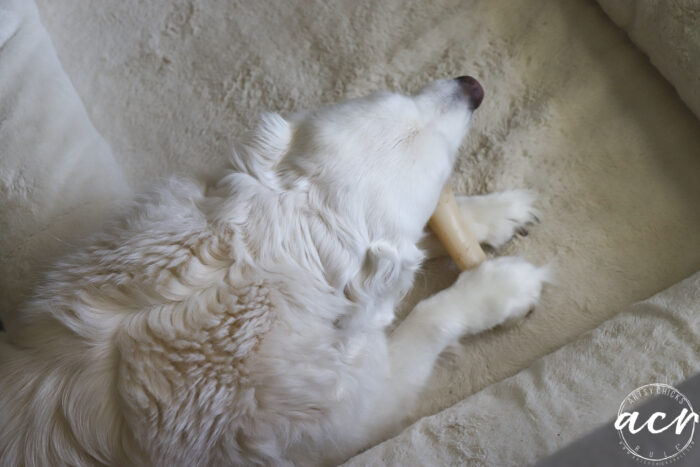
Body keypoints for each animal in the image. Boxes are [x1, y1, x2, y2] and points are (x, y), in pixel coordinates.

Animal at [0, 77, 548, 464]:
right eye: (443, 164)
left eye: (397, 94)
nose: (472, 85)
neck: (268, 253)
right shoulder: (352, 414)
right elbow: (429, 314)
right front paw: (499, 286)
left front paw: (492, 214)